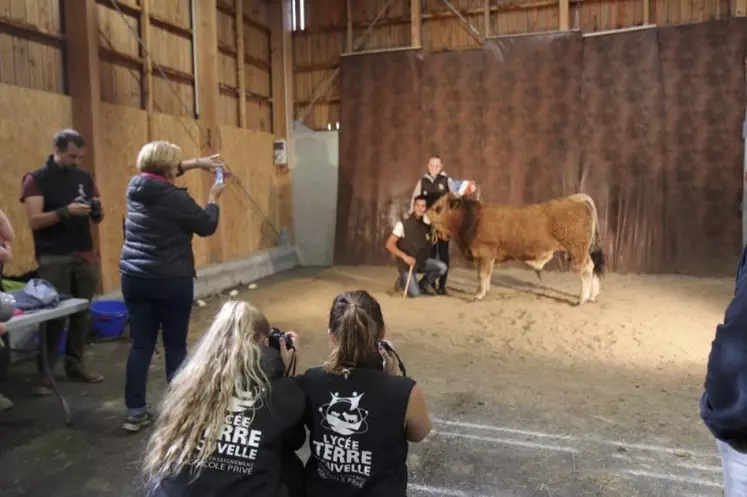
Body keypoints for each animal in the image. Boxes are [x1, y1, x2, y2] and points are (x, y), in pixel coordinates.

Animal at [424, 193, 604, 302]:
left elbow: (482, 275)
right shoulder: (488, 258)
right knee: (592, 268)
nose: (424, 215)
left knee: (586, 271)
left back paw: (582, 299)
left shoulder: (485, 254)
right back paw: (592, 296)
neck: (472, 219)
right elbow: (487, 276)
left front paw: (479, 295)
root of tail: (576, 198)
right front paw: (485, 291)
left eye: (438, 208)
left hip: (577, 250)